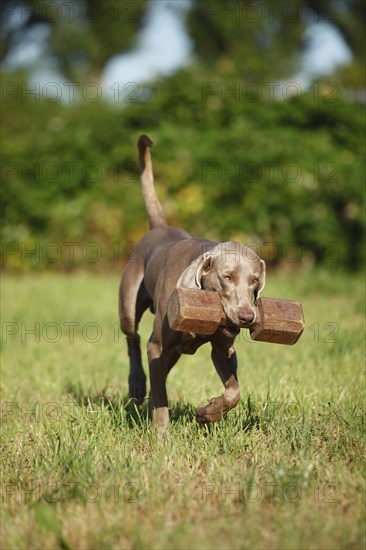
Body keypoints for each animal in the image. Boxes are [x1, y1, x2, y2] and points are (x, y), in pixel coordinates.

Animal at [120, 136, 266, 434]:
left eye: (255, 281)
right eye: (227, 277)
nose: (247, 316)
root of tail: (160, 227)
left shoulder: (223, 349)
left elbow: (234, 392)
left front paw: (207, 413)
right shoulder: (157, 346)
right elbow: (161, 396)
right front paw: (161, 433)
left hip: (175, 351)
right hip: (129, 304)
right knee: (133, 339)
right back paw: (137, 384)